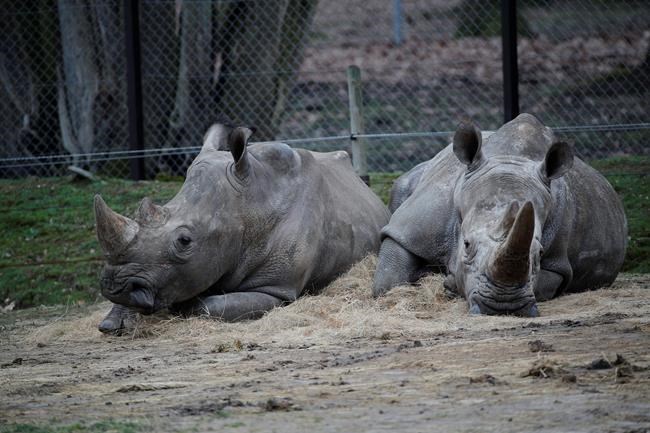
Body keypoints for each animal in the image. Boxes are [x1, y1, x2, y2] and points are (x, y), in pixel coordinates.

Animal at [95, 124, 390, 333]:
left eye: (184, 241)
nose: (114, 287)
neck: (248, 206)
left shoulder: (275, 289)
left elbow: (206, 305)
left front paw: (184, 306)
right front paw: (113, 322)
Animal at [373, 114, 627, 316]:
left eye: (540, 252)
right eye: (466, 244)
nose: (503, 306)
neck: (511, 160)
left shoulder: (558, 262)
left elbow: (544, 283)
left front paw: (449, 283)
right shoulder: (415, 226)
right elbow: (387, 280)